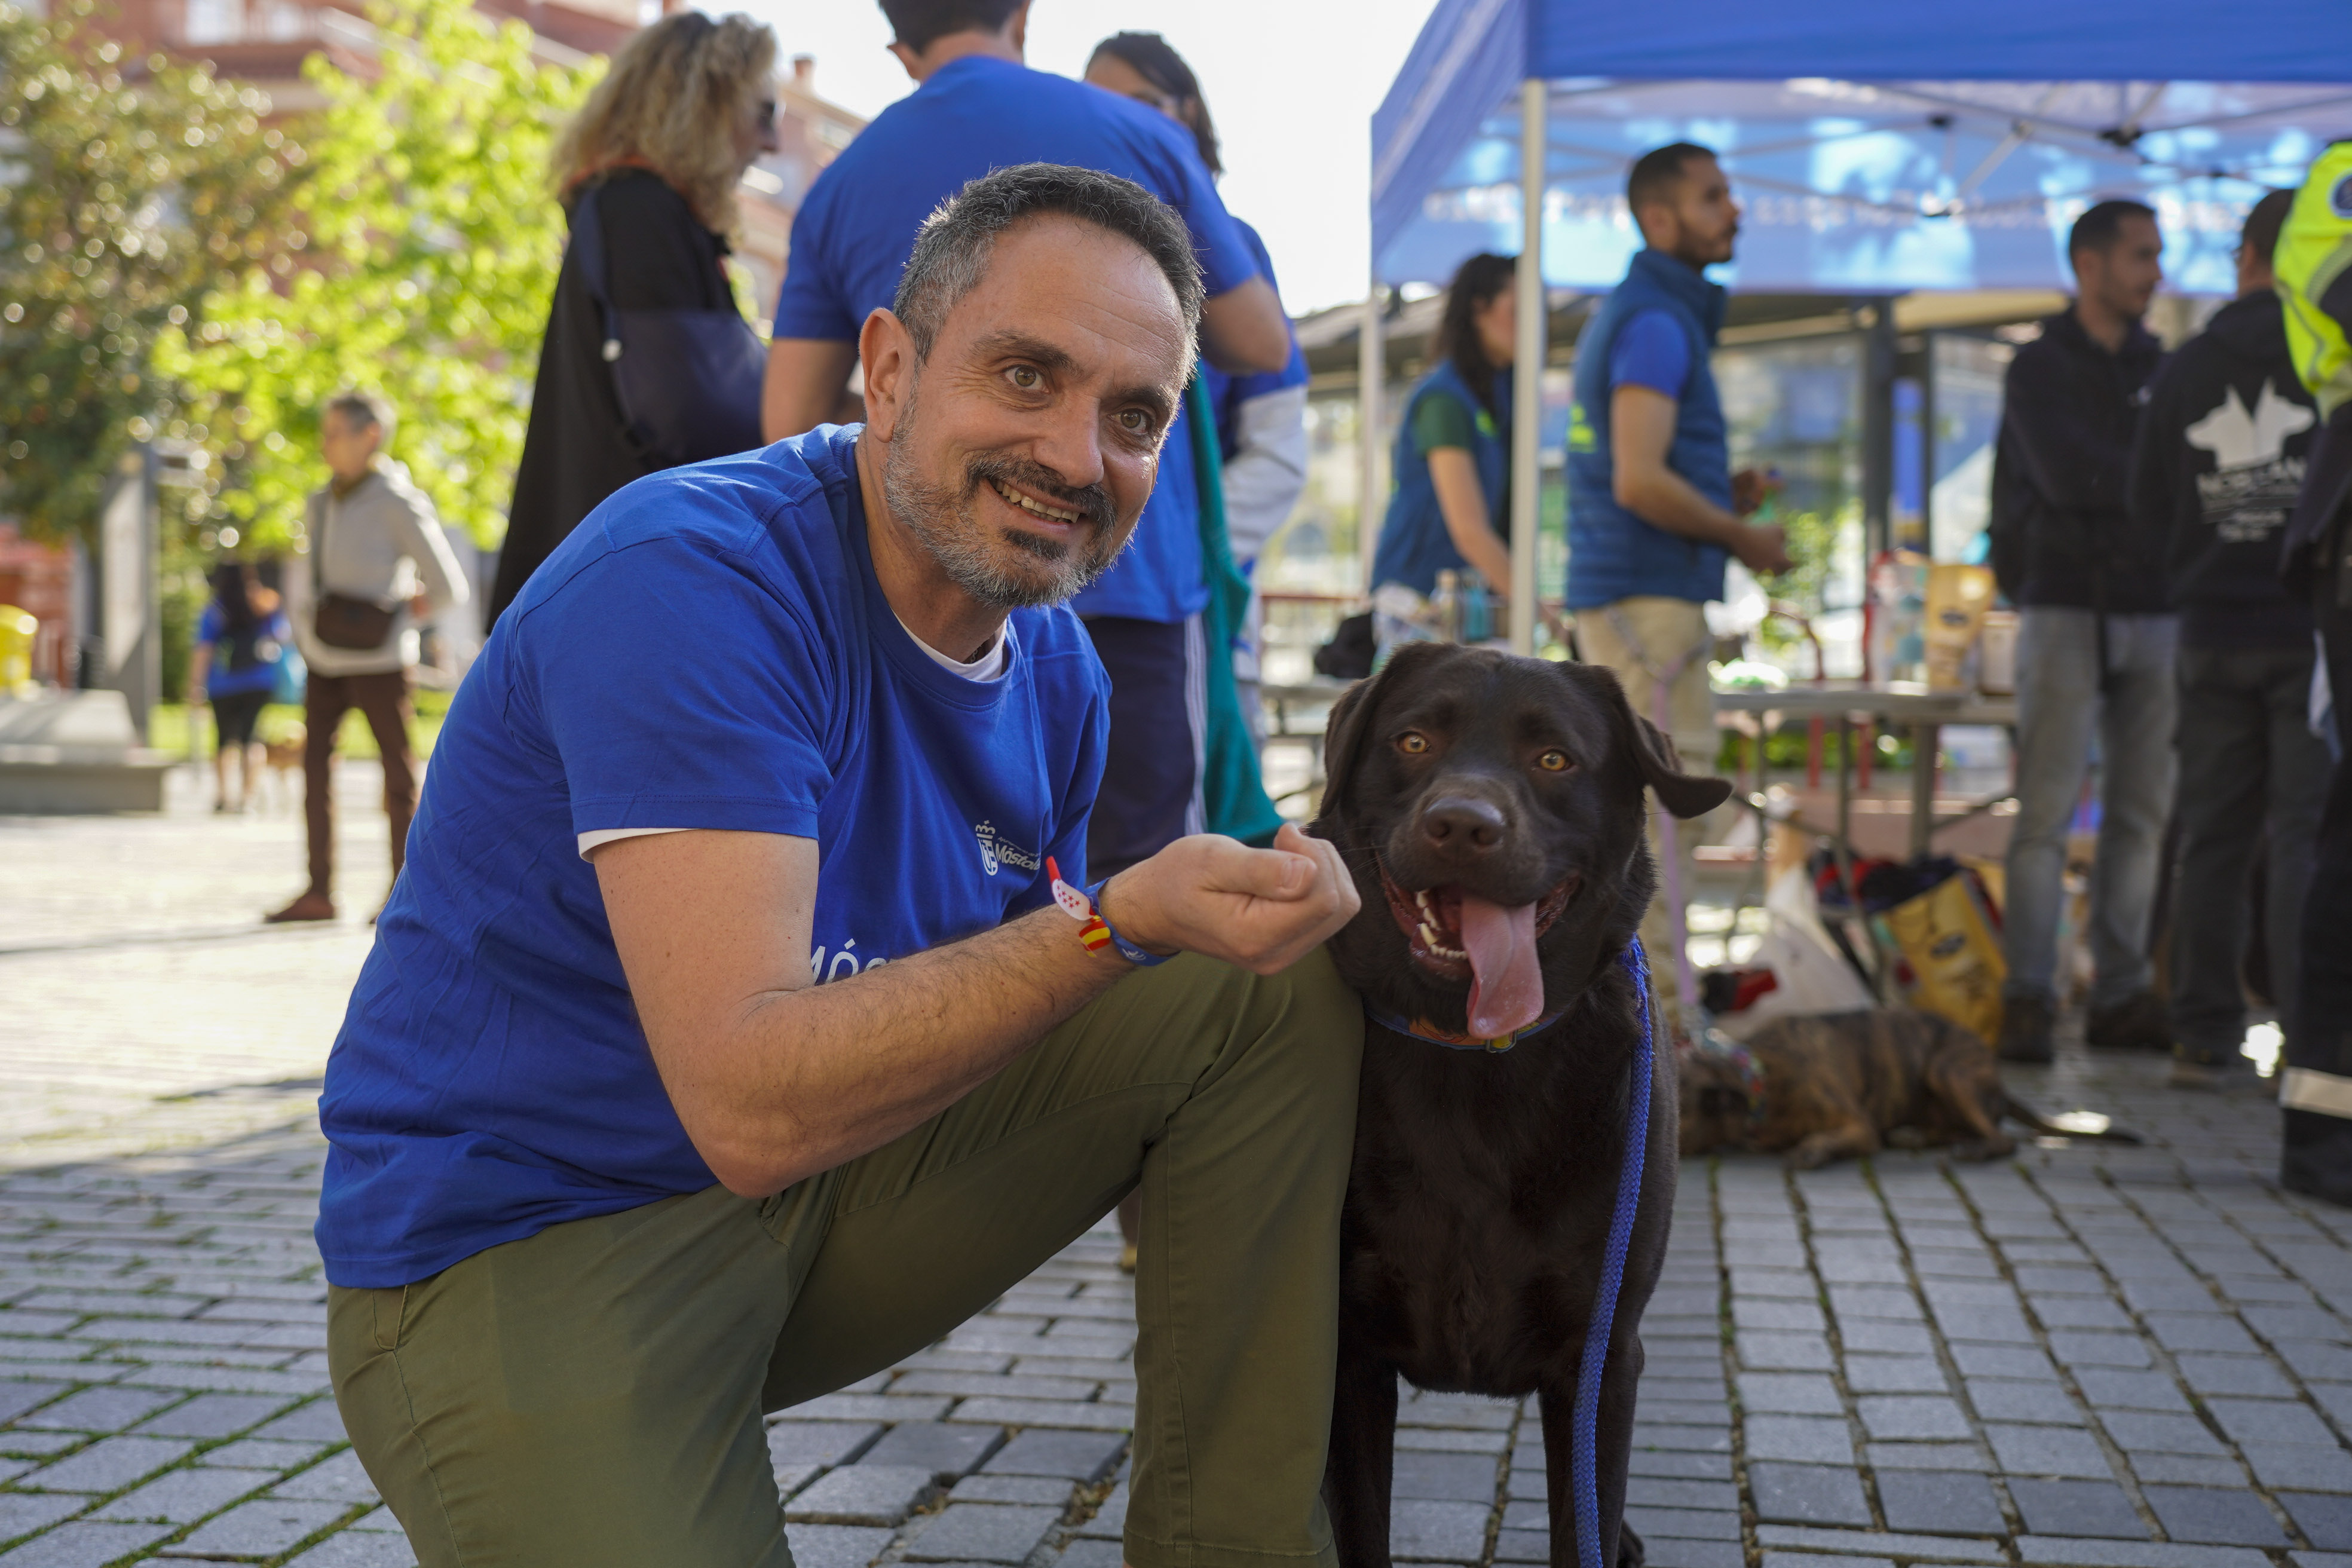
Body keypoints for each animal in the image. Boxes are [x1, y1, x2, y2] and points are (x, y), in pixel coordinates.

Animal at [1309, 641, 1730, 1568]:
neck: (1477, 1055)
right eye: (1415, 741)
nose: (1463, 825)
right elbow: (1361, 1524)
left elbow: (1585, 1522)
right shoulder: (1348, 1353)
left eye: (1554, 759)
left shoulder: (1600, 1354)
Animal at [1678, 1009, 2141, 1170]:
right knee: (1953, 1130)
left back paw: (1974, 1149)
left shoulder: (1859, 1127)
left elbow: (1829, 1139)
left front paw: (1813, 1150)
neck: (1760, 1084)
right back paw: (1916, 1136)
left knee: (2002, 1140)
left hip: (1947, 1069)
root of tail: (1999, 1081)